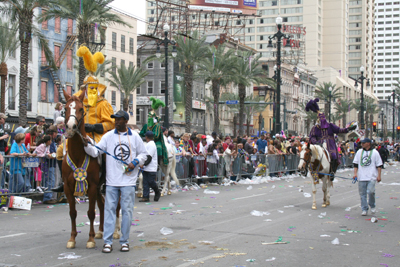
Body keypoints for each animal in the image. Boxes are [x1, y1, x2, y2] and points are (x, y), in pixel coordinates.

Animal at [61, 89, 105, 249]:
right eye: (65, 108)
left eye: (81, 109)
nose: (71, 126)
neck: (78, 154)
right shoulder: (67, 187)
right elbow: (72, 212)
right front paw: (72, 238)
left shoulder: (91, 186)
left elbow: (91, 212)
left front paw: (90, 239)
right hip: (98, 187)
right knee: (102, 204)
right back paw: (100, 231)